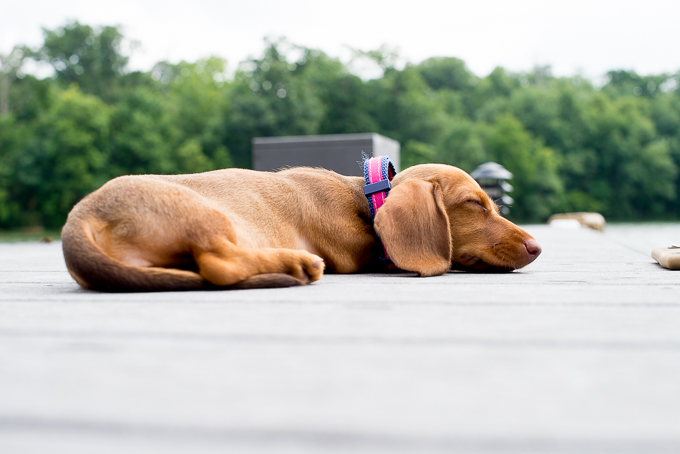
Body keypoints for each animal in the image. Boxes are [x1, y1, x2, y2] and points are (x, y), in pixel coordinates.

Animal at [62, 163, 540, 290]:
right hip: (206, 214)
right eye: (473, 204)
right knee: (220, 264)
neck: (364, 201)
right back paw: (295, 263)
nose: (537, 247)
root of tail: (80, 218)